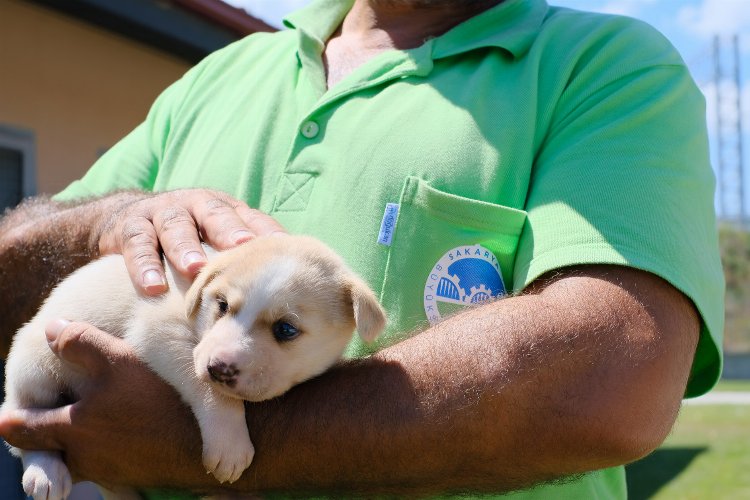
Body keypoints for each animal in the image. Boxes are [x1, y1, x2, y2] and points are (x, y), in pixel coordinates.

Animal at [2, 234, 386, 500]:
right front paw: (229, 444)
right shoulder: (158, 331)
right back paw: (45, 472)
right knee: (24, 424)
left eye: (286, 330)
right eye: (222, 305)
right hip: (34, 365)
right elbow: (207, 388)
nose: (219, 368)